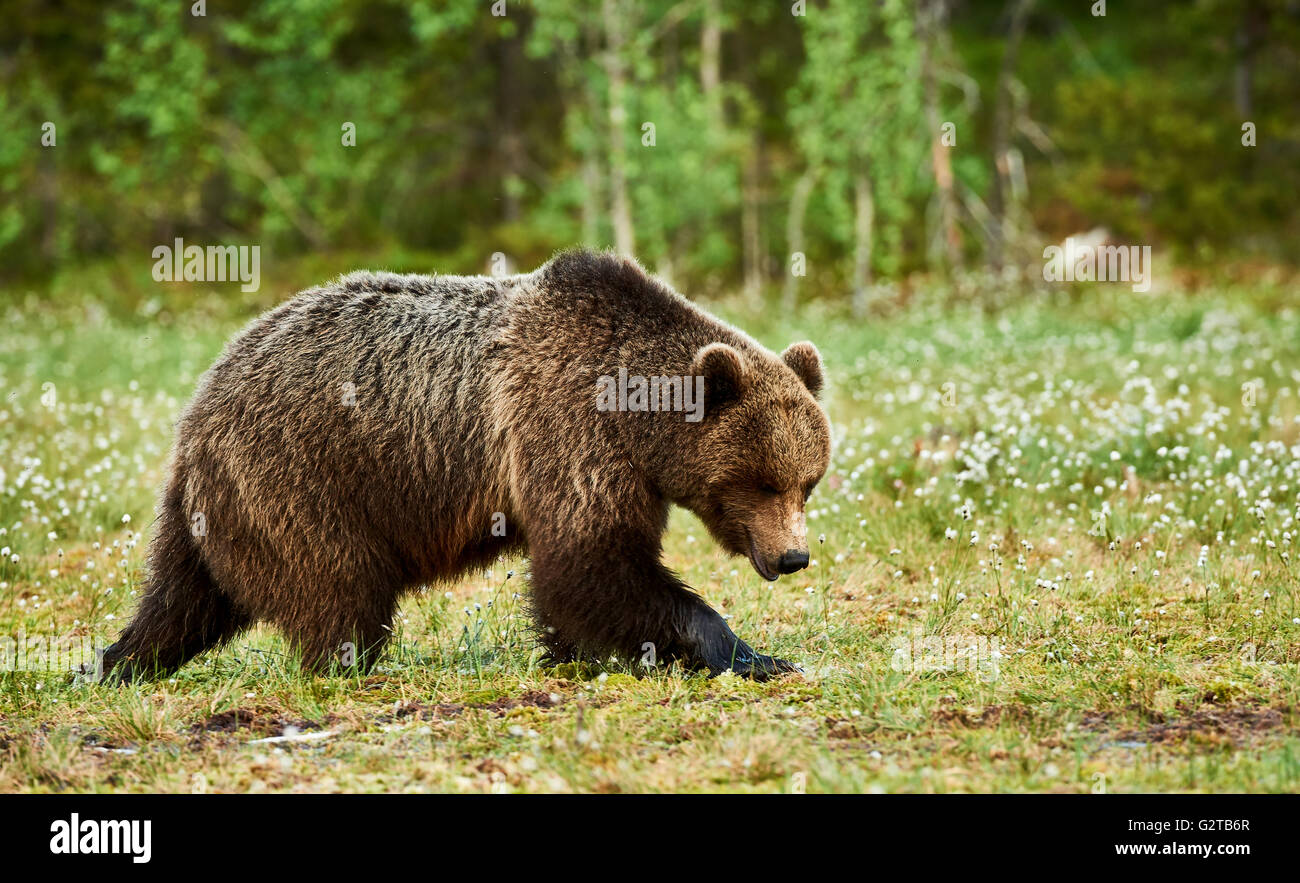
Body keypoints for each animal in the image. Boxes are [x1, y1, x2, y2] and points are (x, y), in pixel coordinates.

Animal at [101, 248, 832, 681]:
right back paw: (351, 667)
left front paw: (577, 653)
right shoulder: (567, 432)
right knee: (339, 585)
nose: (794, 556)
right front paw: (753, 654)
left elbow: (580, 582)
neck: (636, 422)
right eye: (762, 481)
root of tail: (200, 404)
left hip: (216, 506)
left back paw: (118, 660)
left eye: (808, 481)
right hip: (302, 474)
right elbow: (590, 564)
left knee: (184, 596)